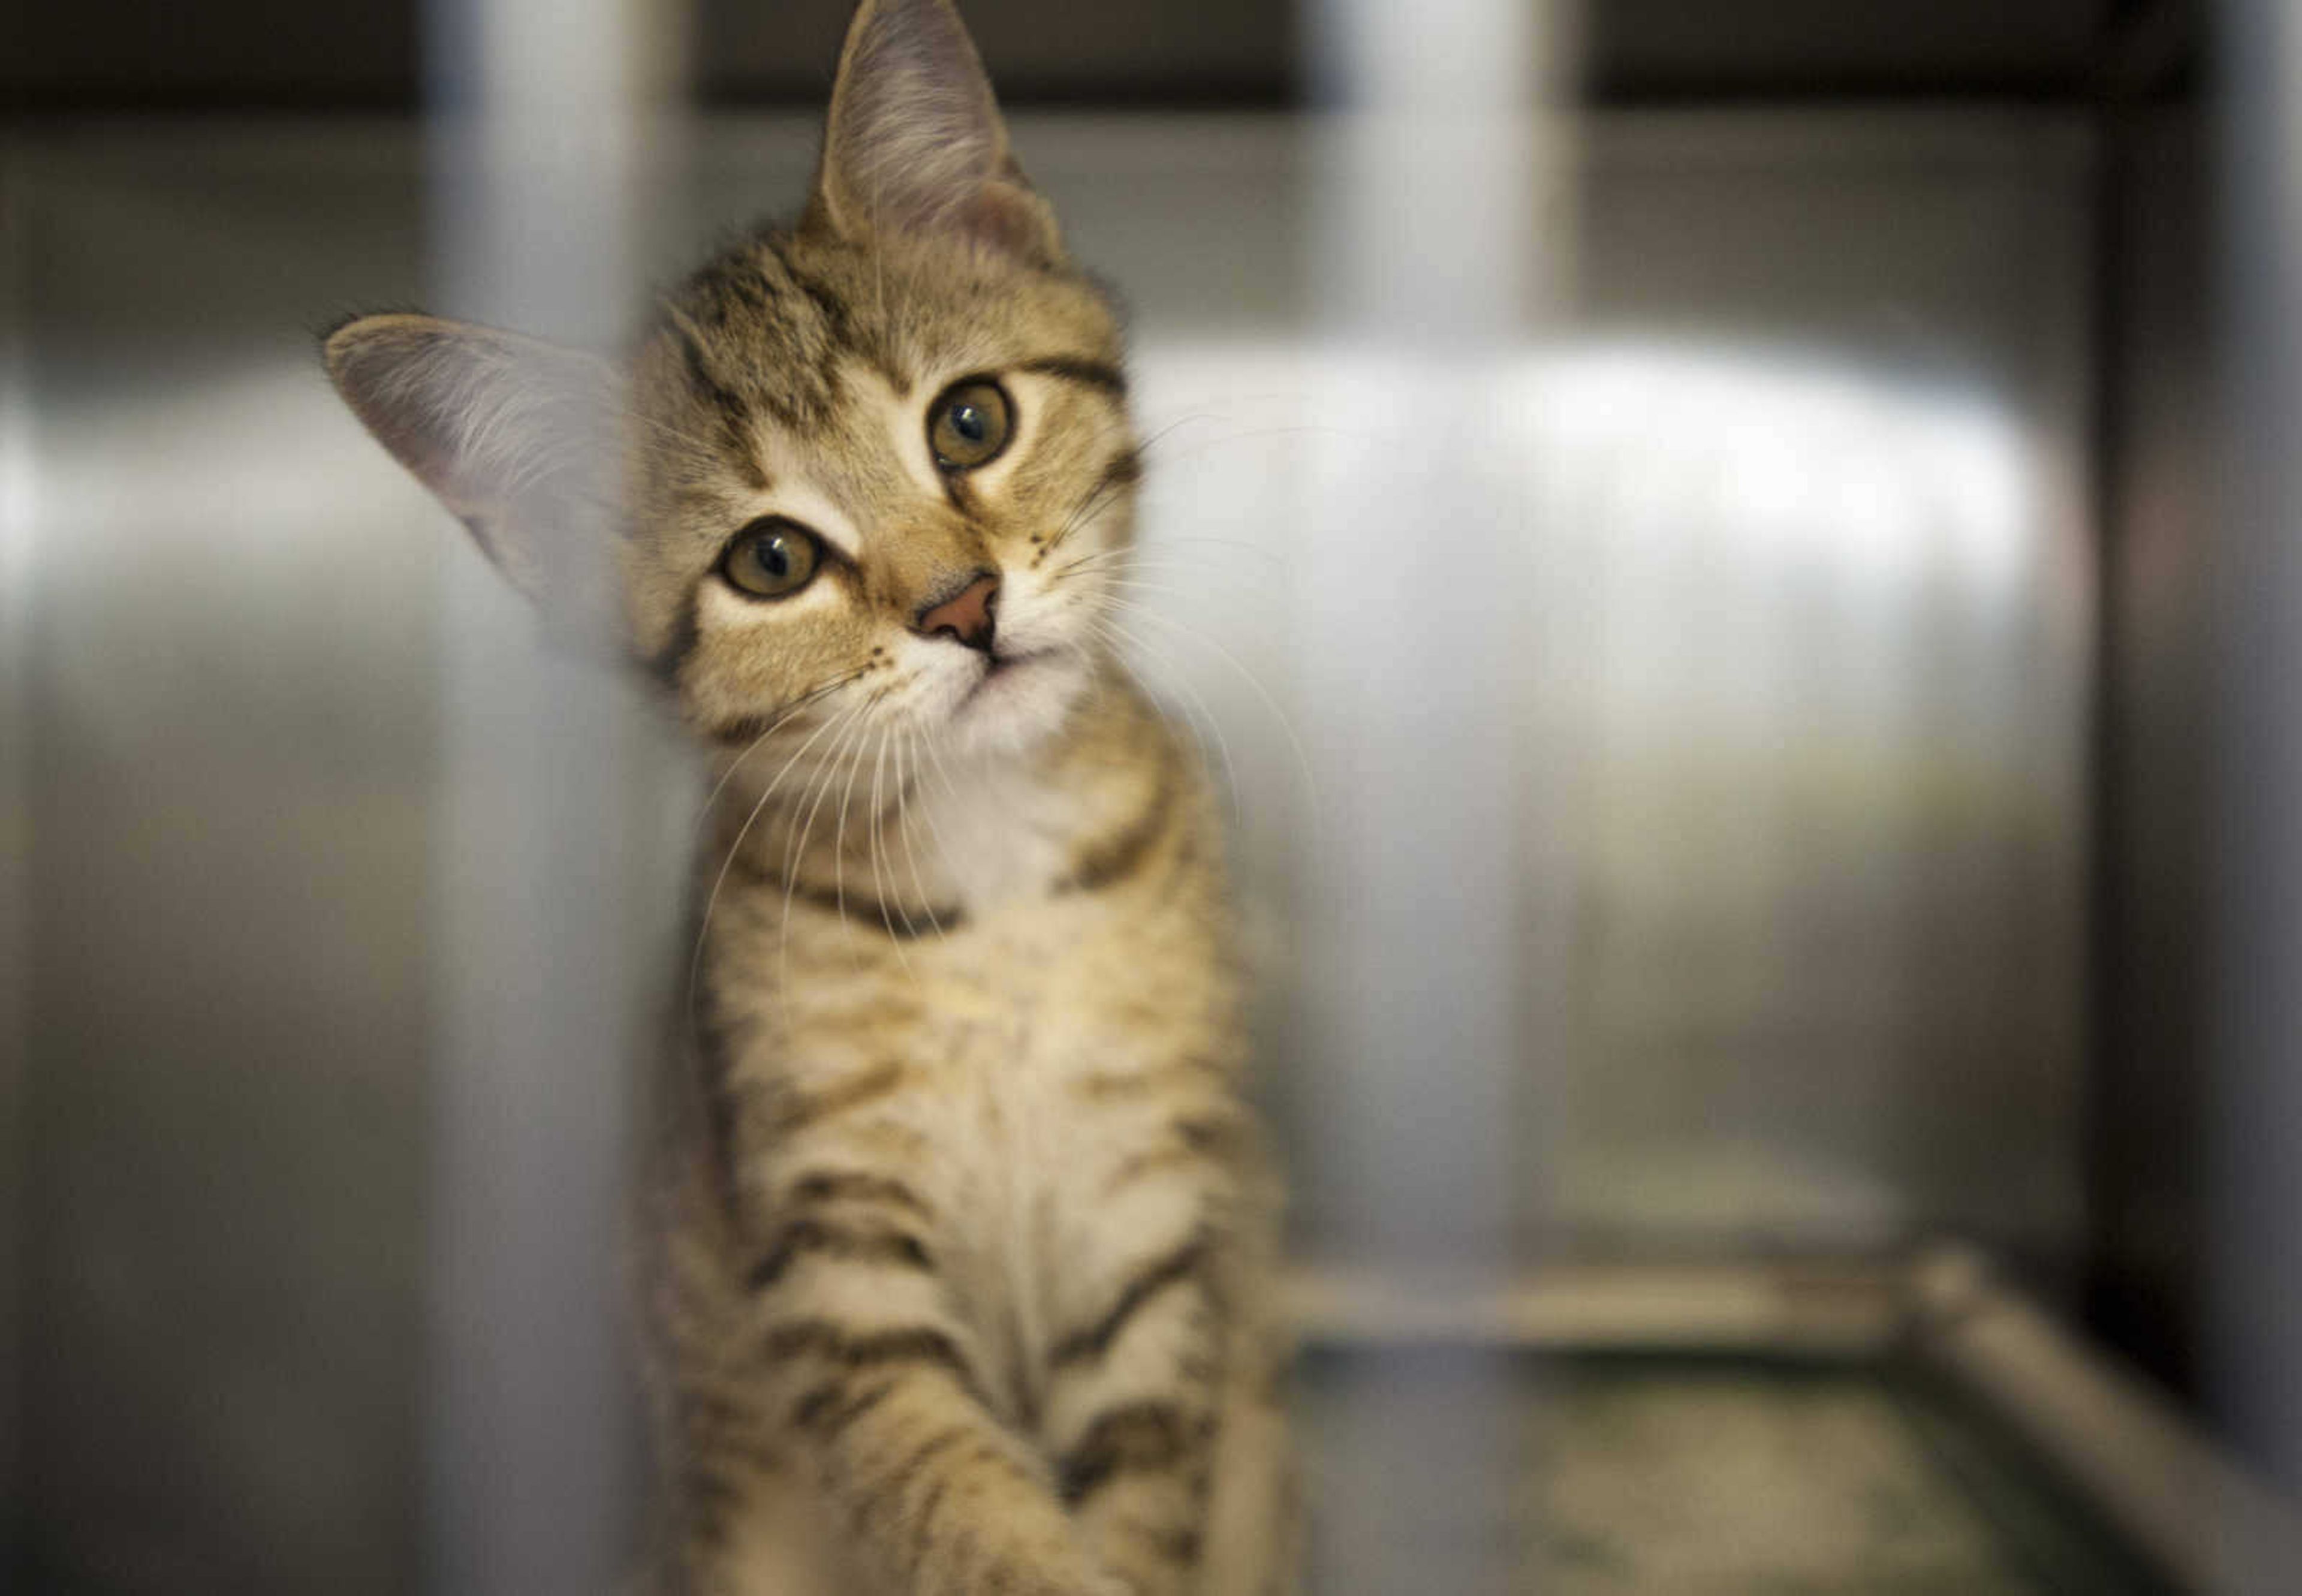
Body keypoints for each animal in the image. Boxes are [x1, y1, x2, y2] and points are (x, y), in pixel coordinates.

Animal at [324, 3, 1298, 1594]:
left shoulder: (1152, 1217)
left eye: (970, 421)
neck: (993, 876)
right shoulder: (838, 1256)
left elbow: (1144, 1482)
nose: (962, 605)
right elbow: (953, 1493)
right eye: (770, 561)